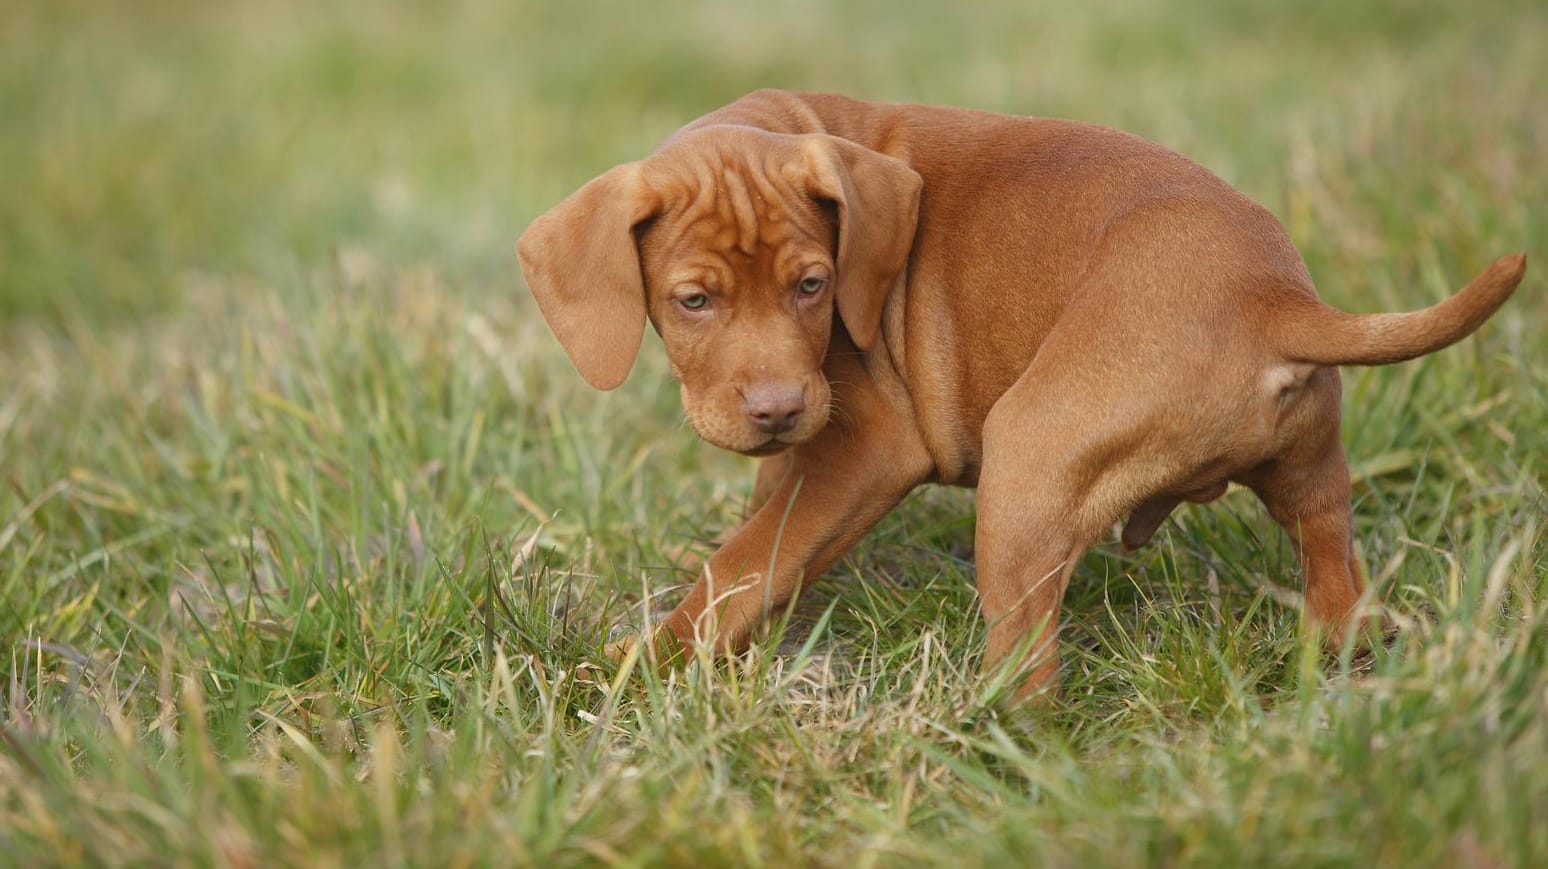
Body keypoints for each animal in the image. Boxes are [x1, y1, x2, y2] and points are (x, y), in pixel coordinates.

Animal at [517, 89, 1523, 697]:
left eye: (813, 285)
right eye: (693, 301)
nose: (774, 410)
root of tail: (1275, 299)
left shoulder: (867, 444)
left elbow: (746, 559)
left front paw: (638, 664)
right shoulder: (812, 444)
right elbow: (770, 534)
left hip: (1027, 462)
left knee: (1030, 669)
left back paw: (977, 733)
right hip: (1309, 457)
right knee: (1331, 549)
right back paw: (1340, 649)